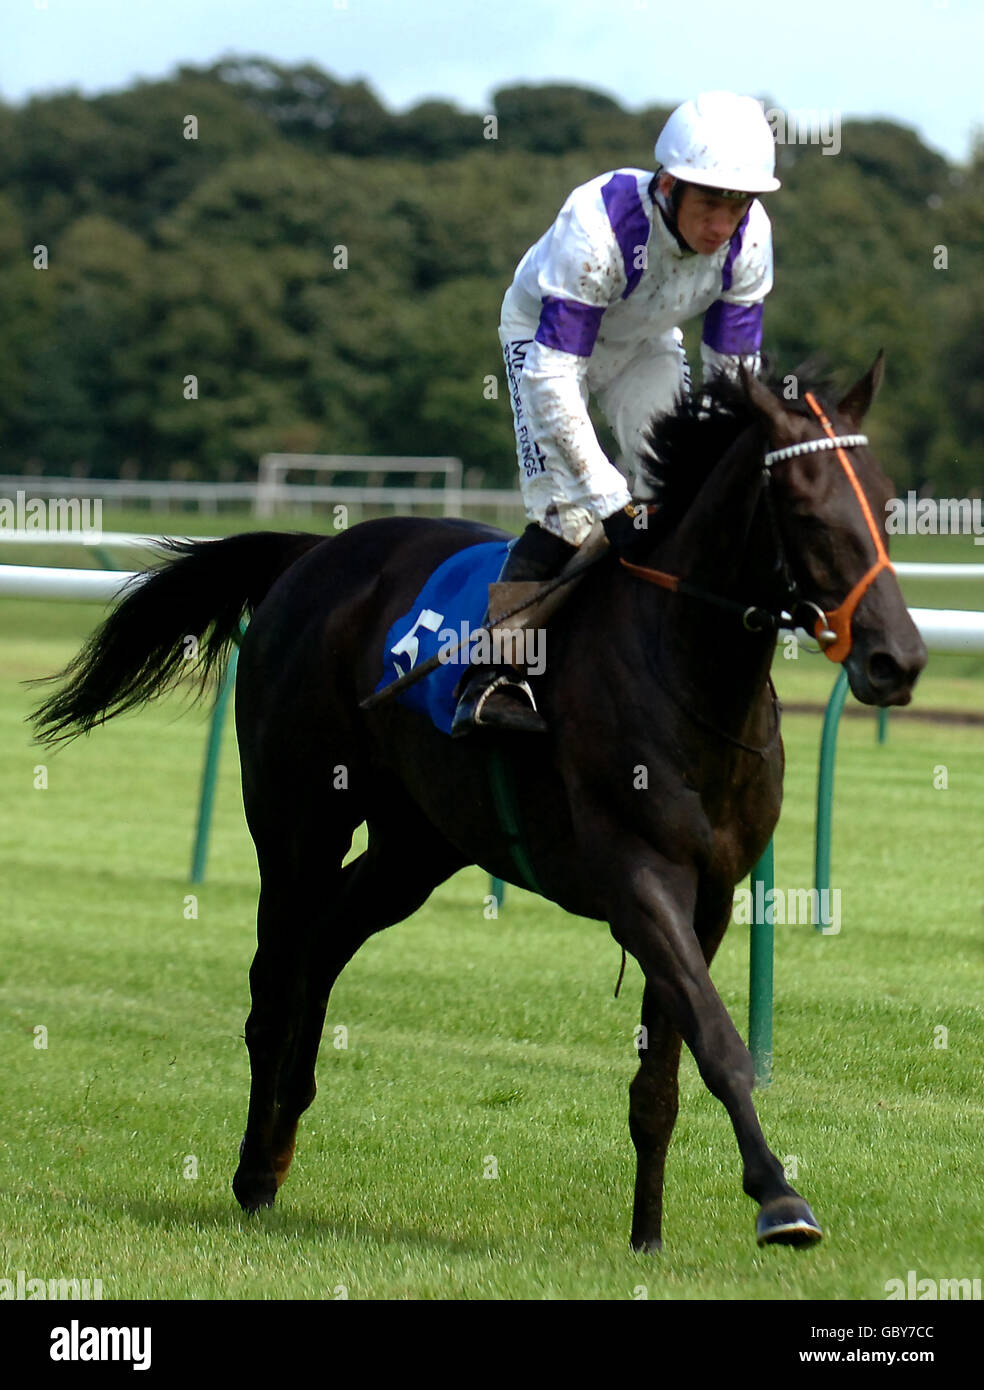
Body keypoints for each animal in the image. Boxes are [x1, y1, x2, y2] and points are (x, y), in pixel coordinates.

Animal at [28, 355, 922, 1251]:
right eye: (805, 509)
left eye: (885, 501)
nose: (898, 659)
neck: (684, 672)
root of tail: (317, 551)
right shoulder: (638, 881)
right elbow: (717, 1039)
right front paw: (779, 1198)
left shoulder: (711, 896)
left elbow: (661, 1077)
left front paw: (648, 1237)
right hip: (298, 819)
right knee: (273, 982)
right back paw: (251, 1173)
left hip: (415, 845)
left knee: (324, 944)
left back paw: (281, 1142)